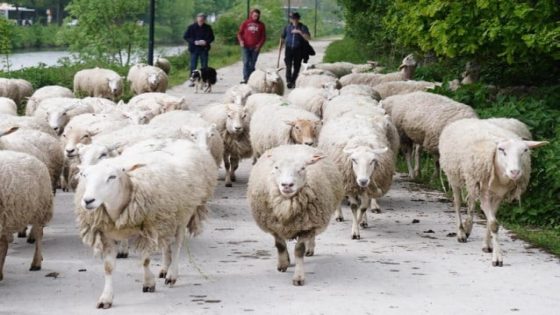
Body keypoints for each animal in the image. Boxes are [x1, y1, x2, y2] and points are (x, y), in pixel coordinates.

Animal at [76, 139, 219, 308]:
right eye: (85, 175)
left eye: (112, 177)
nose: (88, 200)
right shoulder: (107, 234)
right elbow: (108, 267)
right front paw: (106, 298)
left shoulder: (148, 227)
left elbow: (145, 260)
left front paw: (149, 283)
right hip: (166, 216)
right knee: (165, 243)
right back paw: (165, 268)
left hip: (183, 213)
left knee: (177, 244)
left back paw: (172, 274)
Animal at [248, 145, 344, 286]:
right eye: (276, 167)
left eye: (302, 168)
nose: (287, 185)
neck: (287, 206)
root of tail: (294, 145)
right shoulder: (274, 225)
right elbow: (280, 245)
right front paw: (283, 264)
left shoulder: (307, 226)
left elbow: (299, 251)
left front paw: (298, 277)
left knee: (312, 237)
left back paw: (310, 249)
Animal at [438, 119, 548, 268]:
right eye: (501, 150)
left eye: (525, 151)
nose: (515, 172)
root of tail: (463, 120)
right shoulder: (485, 192)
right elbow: (493, 224)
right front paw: (497, 258)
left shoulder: (499, 194)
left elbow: (491, 220)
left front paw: (487, 245)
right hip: (453, 174)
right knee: (457, 203)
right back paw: (461, 233)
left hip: (472, 179)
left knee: (471, 203)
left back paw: (468, 227)